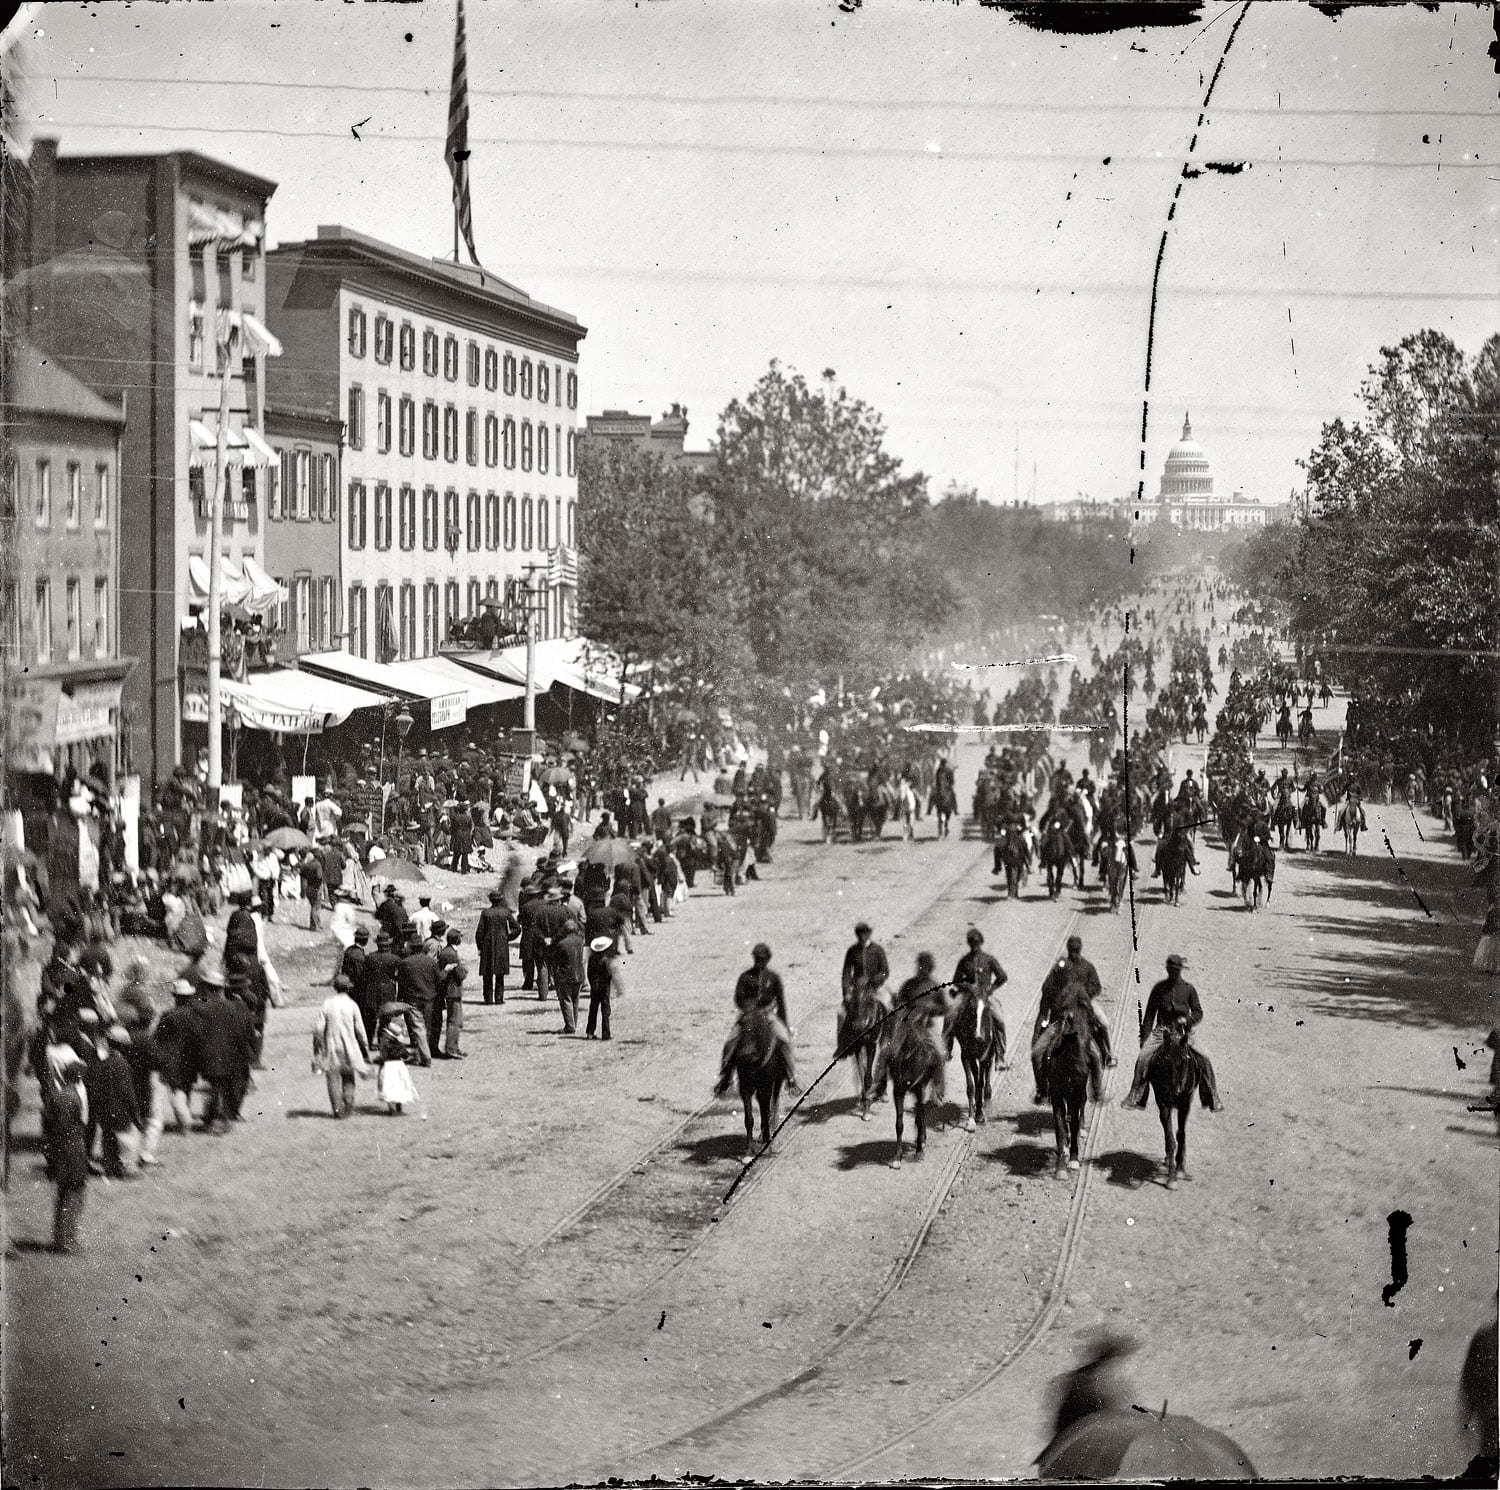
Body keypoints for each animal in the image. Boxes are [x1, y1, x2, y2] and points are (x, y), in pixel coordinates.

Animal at [723, 1008, 792, 1158]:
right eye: (741, 1025)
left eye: (759, 1028)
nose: (745, 1055)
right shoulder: (745, 1087)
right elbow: (749, 1119)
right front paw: (750, 1150)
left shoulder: (767, 1085)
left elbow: (767, 1111)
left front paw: (768, 1143)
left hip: (776, 1081)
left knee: (773, 1105)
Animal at [1044, 1002, 1092, 1176]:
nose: (1083, 1070)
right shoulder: (1056, 1093)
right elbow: (1059, 1124)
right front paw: (1060, 1167)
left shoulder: (1076, 1092)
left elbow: (1074, 1120)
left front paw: (1073, 1160)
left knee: (1079, 1108)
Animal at [1146, 1014, 1194, 1188]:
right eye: (1165, 1060)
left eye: (1184, 1061)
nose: (1175, 1091)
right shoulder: (1164, 1104)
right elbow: (1170, 1139)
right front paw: (1172, 1178)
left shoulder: (1185, 1104)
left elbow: (1181, 1134)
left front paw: (1180, 1169)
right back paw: (1168, 1160)